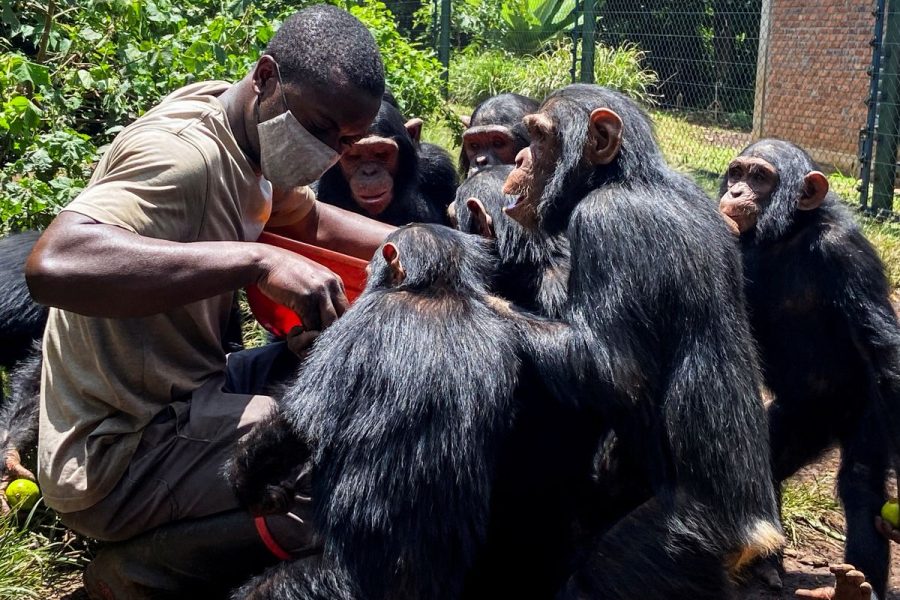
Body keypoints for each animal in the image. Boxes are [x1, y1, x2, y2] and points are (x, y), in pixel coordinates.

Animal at [229, 224, 528, 600]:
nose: (369, 270)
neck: (435, 290)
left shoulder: (359, 324)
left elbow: (299, 427)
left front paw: (247, 487)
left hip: (331, 583)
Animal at [502, 85, 784, 600]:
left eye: (539, 136)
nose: (519, 157)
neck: (622, 179)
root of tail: (755, 535)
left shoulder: (608, 225)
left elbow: (610, 367)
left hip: (674, 548)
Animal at [720, 138, 900, 600]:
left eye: (760, 177)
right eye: (736, 172)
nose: (736, 192)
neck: (786, 236)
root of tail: (833, 420)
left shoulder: (846, 253)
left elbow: (883, 349)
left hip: (868, 410)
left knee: (861, 483)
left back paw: (856, 585)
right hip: (803, 418)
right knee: (767, 457)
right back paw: (766, 565)